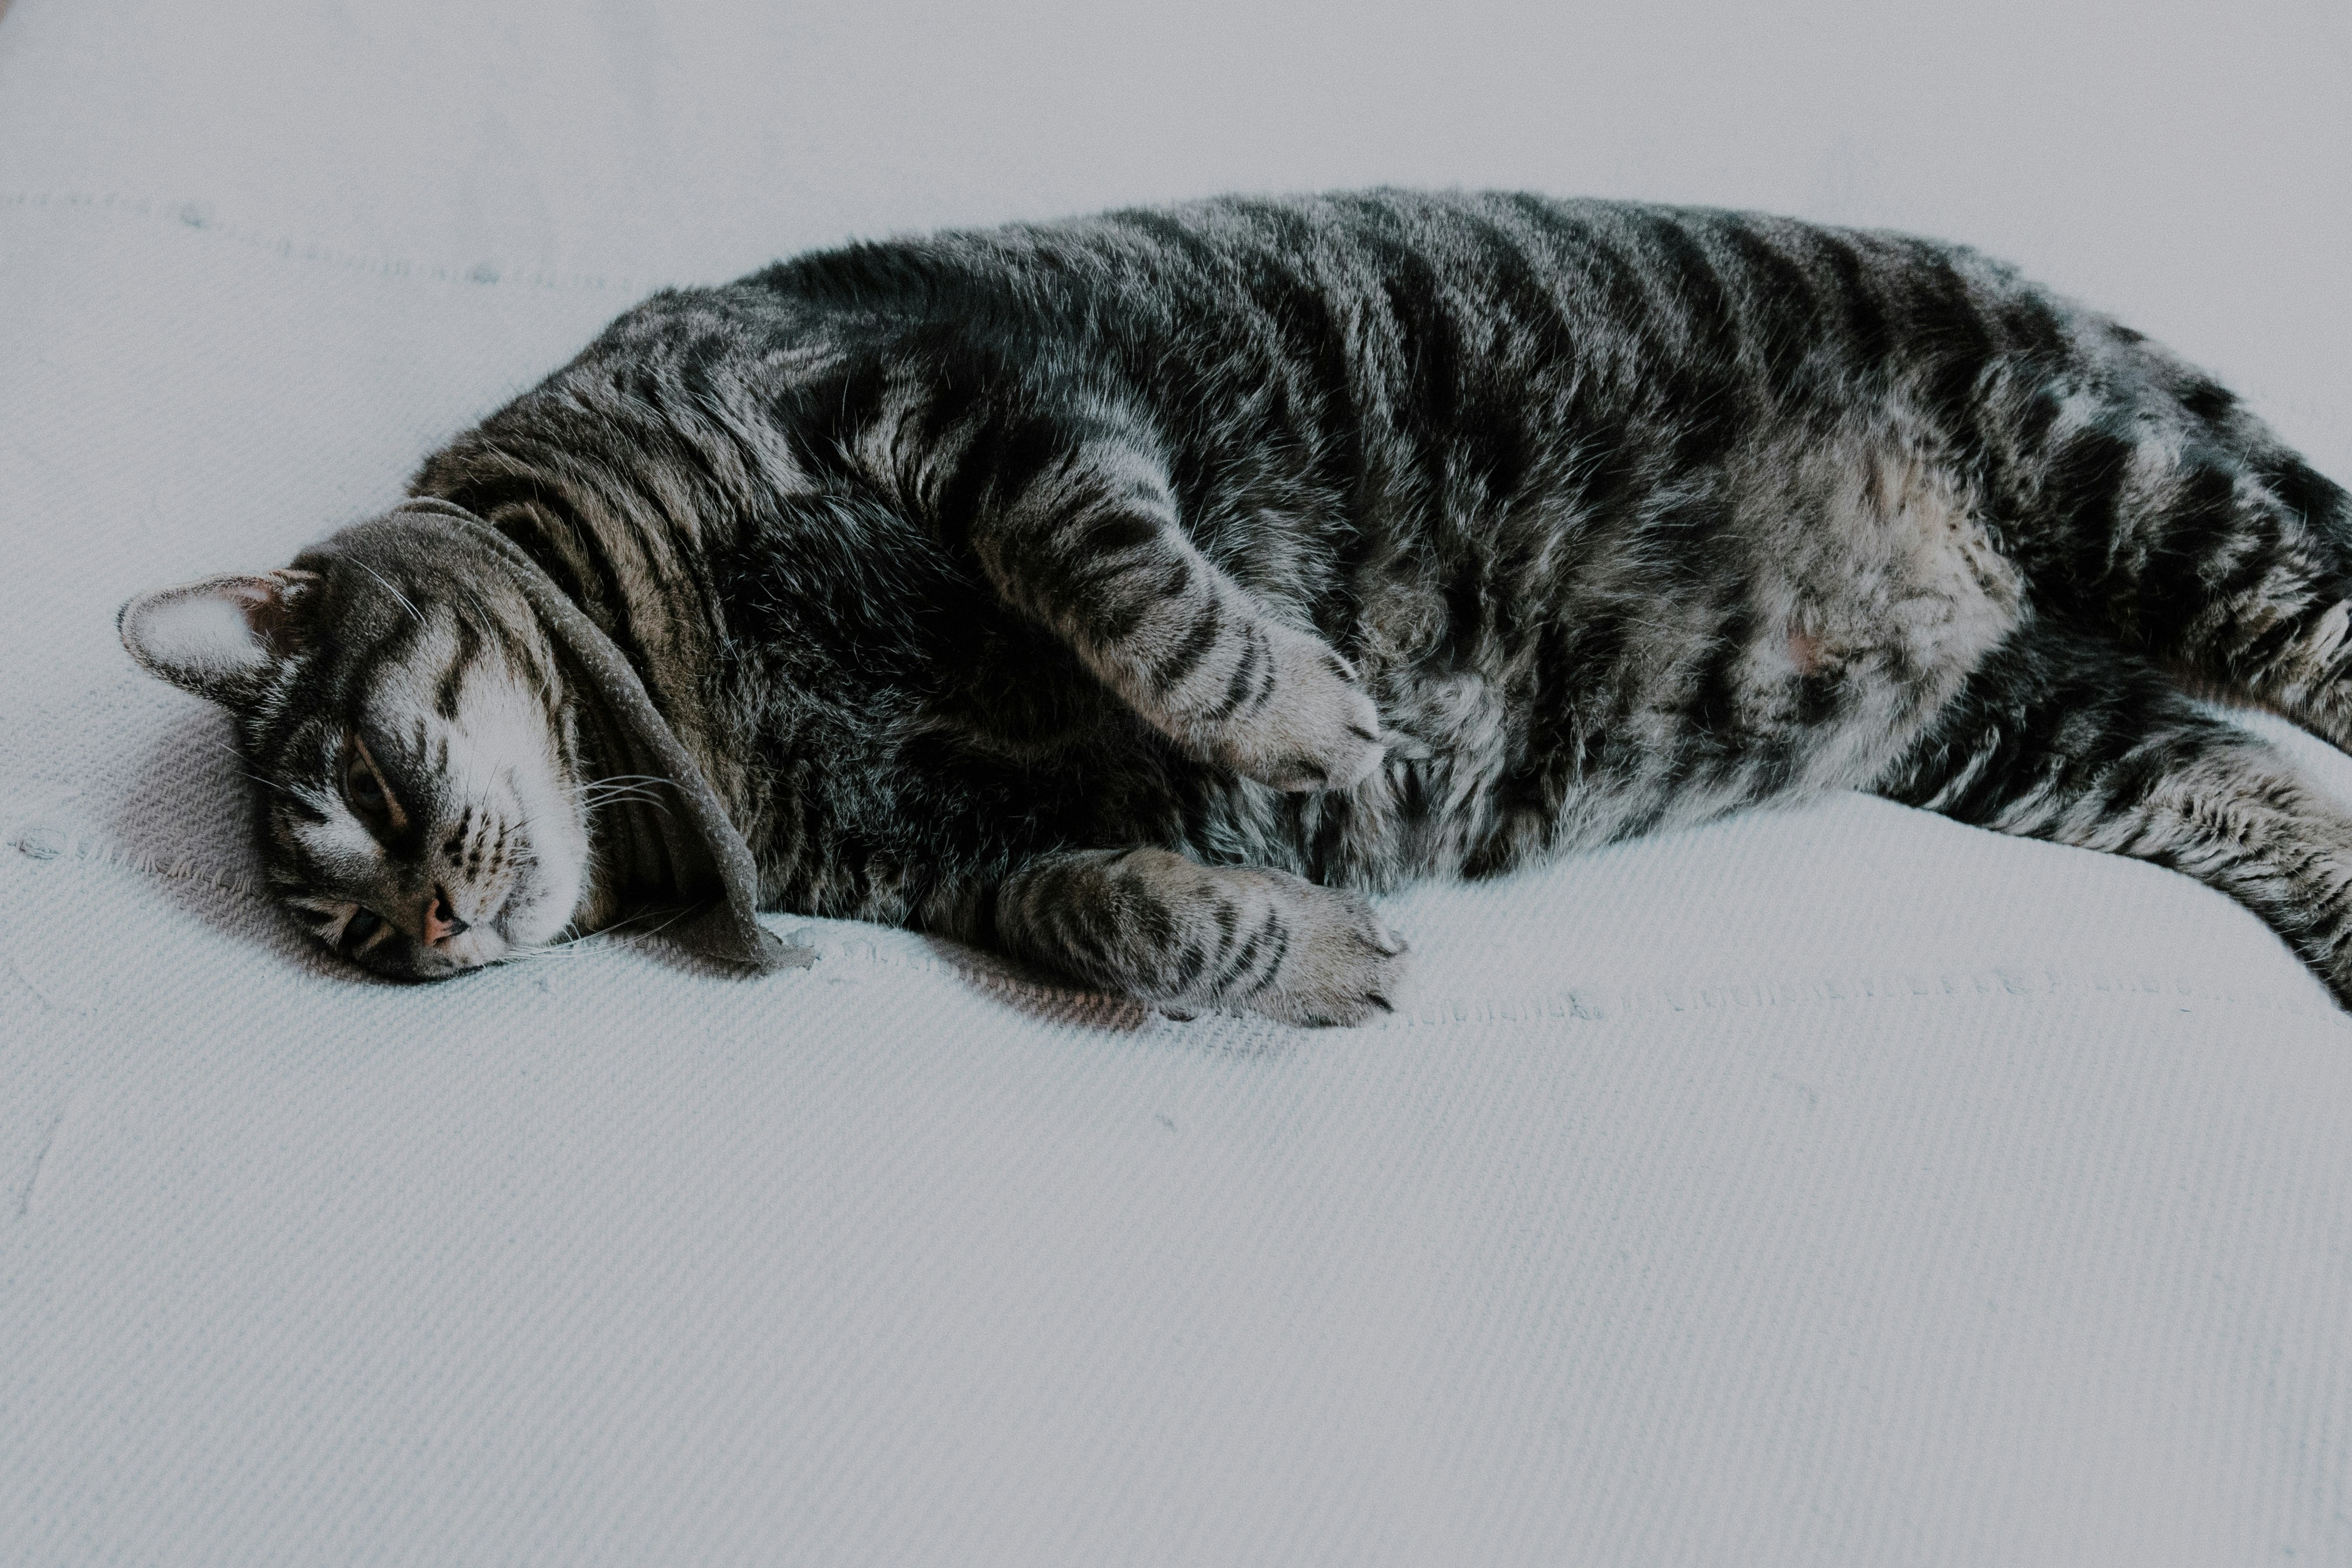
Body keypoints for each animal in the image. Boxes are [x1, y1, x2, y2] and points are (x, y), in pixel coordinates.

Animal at [119, 190, 2352, 1024]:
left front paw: (1295, 704)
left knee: (2316, 645)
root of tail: (2007, 272)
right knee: (2267, 794)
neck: (702, 729)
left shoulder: (957, 388)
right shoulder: (971, 864)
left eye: (364, 785)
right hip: (2040, 728)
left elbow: (1119, 575)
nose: (420, 932)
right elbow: (1102, 909)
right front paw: (1296, 944)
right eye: (336, 922)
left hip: (2134, 490)